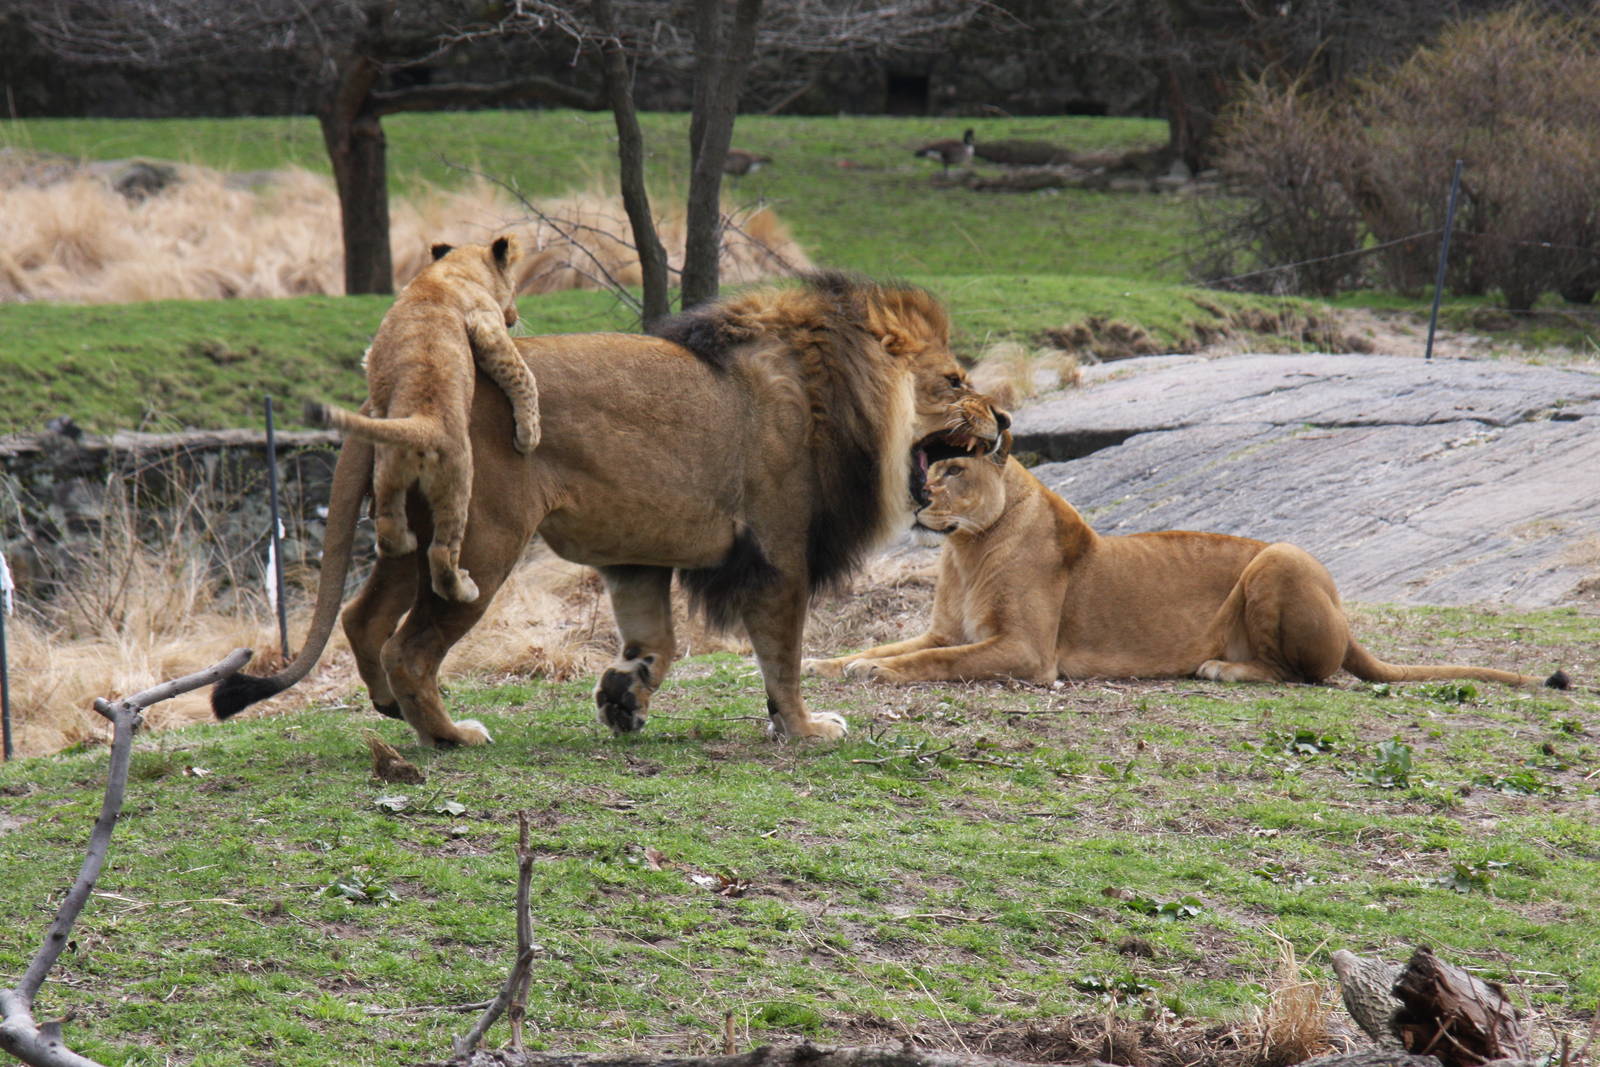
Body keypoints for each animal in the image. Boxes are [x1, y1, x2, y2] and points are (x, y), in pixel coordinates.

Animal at [213, 273, 1009, 747]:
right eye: (954, 380)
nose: (1003, 417)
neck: (835, 393)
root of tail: (397, 391)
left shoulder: (637, 557)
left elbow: (657, 642)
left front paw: (624, 697)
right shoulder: (778, 555)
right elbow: (782, 658)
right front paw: (807, 728)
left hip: (412, 535)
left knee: (362, 618)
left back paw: (387, 708)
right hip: (481, 544)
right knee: (408, 647)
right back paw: (448, 735)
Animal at [307, 236, 541, 604]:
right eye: (515, 287)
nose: (515, 316)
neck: (447, 271)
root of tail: (421, 422)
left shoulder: (373, 357)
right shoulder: (485, 322)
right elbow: (520, 374)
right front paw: (529, 435)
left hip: (388, 470)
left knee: (388, 527)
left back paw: (403, 541)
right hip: (458, 481)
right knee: (442, 553)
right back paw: (463, 587)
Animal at [805, 452, 1570, 691]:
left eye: (954, 470)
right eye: (929, 467)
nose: (917, 498)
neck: (966, 549)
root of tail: (1344, 613)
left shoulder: (1026, 653)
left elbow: (933, 663)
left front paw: (873, 672)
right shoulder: (945, 628)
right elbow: (891, 644)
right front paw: (828, 662)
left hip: (1279, 557)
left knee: (1305, 675)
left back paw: (1221, 668)